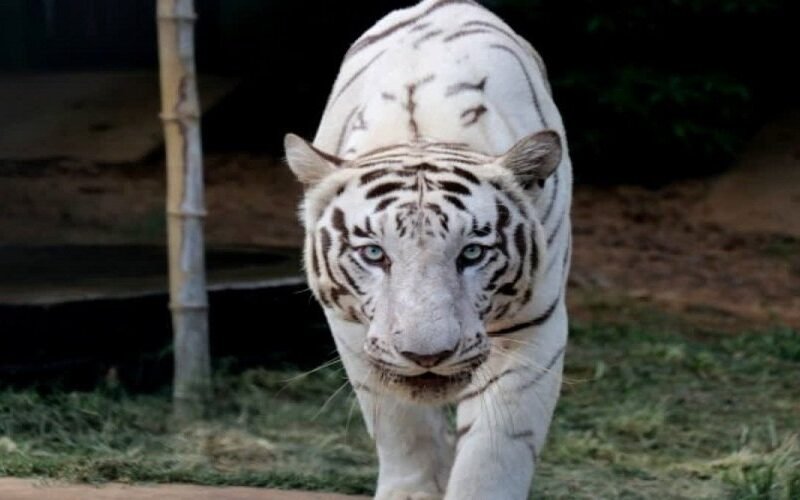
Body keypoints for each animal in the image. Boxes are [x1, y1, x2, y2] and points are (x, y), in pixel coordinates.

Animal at [283, 0, 572, 498]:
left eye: (472, 254)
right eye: (374, 254)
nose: (427, 357)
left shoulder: (534, 329)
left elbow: (494, 454)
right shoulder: (353, 330)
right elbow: (403, 428)